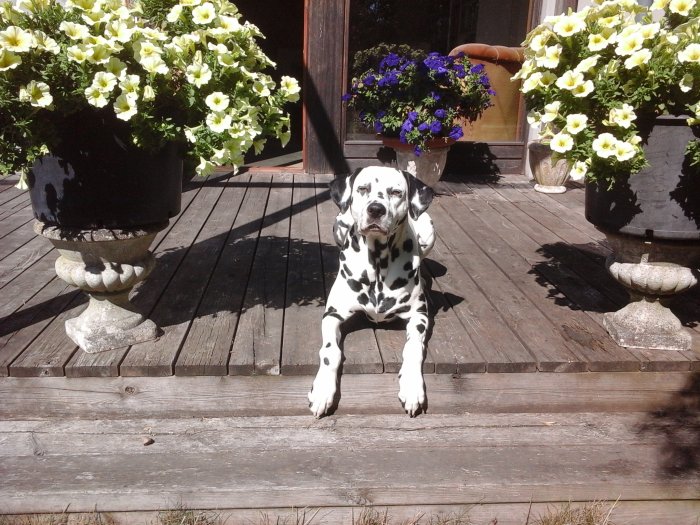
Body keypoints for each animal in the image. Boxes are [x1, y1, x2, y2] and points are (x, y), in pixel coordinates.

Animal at [308, 166, 434, 416]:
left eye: (396, 192)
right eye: (363, 188)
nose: (376, 209)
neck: (377, 261)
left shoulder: (419, 316)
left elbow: (413, 347)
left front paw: (412, 386)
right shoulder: (332, 315)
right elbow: (329, 352)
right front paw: (323, 389)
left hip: (428, 232)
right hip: (339, 224)